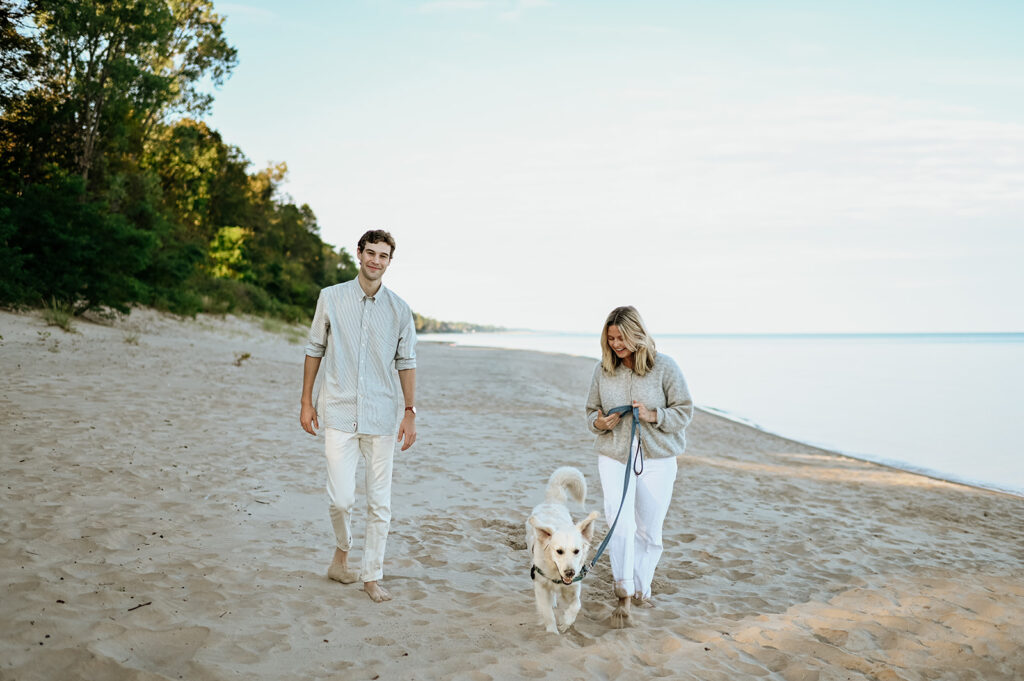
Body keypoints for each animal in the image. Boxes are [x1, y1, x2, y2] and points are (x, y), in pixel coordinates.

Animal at [528, 466, 598, 630]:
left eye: (577, 551)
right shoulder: (540, 585)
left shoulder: (574, 584)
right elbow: (547, 613)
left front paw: (566, 622)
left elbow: (577, 605)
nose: (570, 572)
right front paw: (552, 632)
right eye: (559, 551)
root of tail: (552, 501)